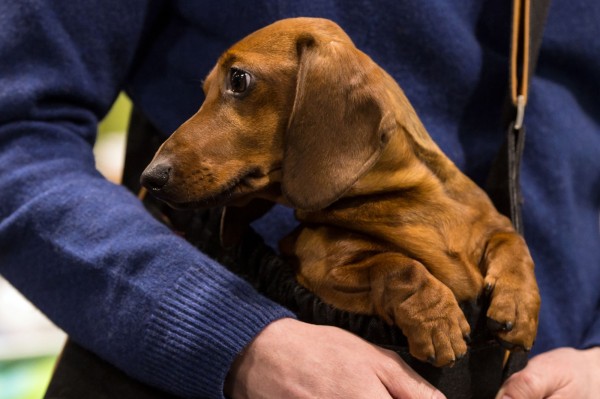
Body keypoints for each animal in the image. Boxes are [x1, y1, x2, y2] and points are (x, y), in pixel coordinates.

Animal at [141, 17, 540, 368]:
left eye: (238, 80)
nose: (150, 177)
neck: (408, 196)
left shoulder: (490, 222)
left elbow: (512, 242)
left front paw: (518, 304)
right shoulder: (322, 269)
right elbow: (398, 266)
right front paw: (436, 320)